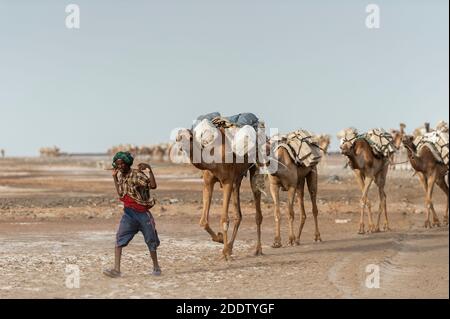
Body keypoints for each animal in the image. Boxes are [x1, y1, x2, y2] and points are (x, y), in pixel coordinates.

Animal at [174, 127, 262, 260]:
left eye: (190, 137)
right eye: (177, 138)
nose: (180, 147)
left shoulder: (227, 182)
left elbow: (224, 219)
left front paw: (225, 253)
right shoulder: (208, 182)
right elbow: (203, 222)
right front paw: (220, 239)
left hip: (254, 167)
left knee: (256, 200)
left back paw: (257, 249)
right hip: (238, 179)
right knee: (238, 214)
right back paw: (230, 247)